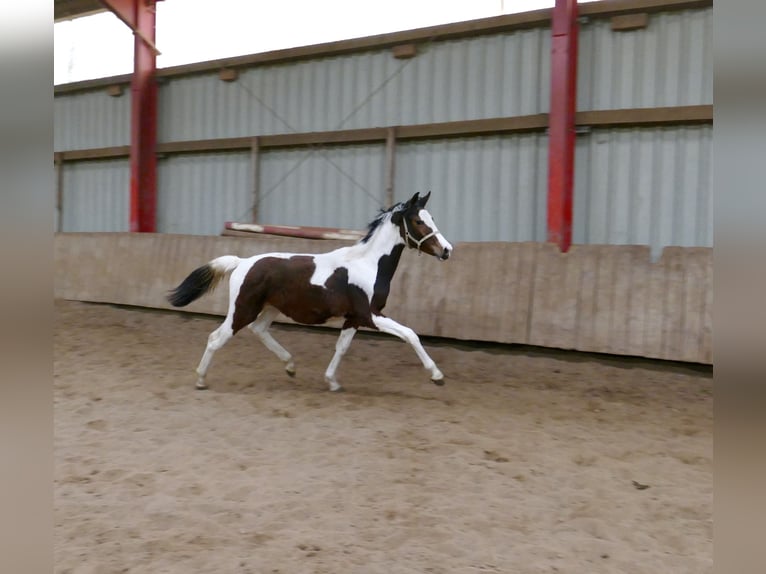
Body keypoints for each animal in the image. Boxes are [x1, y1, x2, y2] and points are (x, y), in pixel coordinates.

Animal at [167, 191, 453, 392]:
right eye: (418, 221)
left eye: (433, 219)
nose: (447, 250)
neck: (368, 264)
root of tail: (242, 262)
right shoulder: (371, 315)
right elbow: (410, 334)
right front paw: (437, 375)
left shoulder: (354, 318)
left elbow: (342, 347)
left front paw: (332, 382)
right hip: (242, 310)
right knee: (216, 338)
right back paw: (201, 380)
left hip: (270, 308)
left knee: (259, 330)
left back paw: (290, 366)